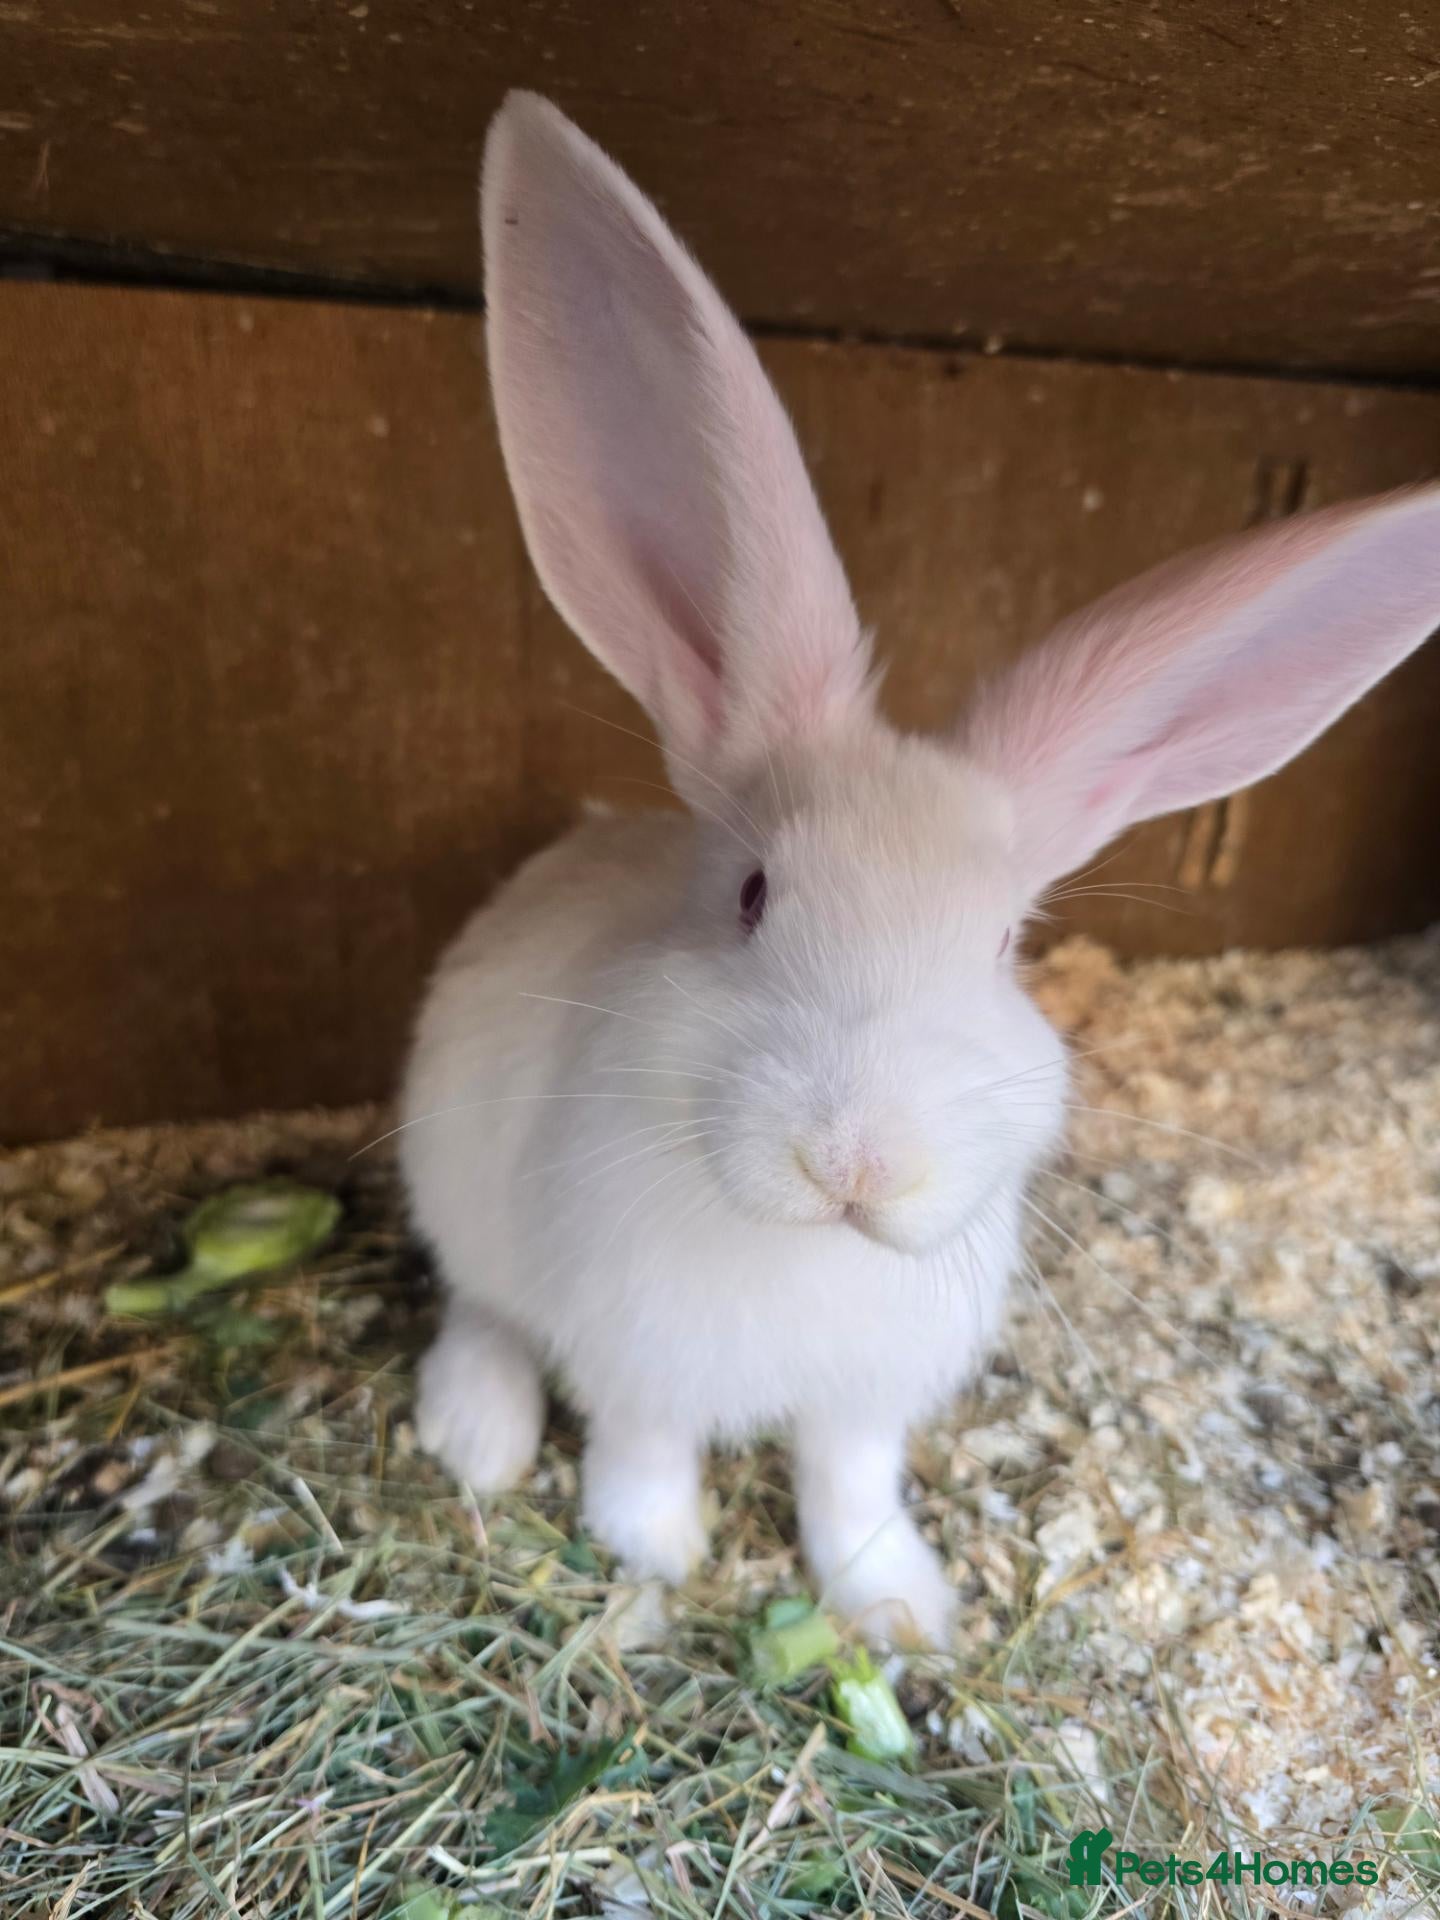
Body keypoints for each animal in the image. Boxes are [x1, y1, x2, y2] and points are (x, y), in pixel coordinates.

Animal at [400, 90, 1440, 1647]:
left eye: (1004, 945)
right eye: (753, 896)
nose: (858, 1164)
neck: (807, 1253)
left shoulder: (867, 1400)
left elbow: (850, 1487)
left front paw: (899, 1609)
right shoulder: (639, 1357)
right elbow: (645, 1449)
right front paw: (655, 1555)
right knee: (482, 1310)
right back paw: (473, 1434)